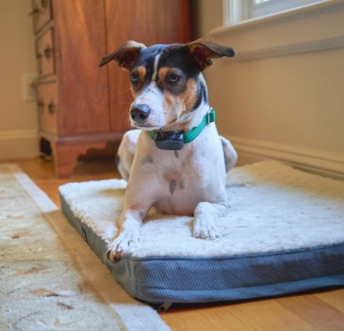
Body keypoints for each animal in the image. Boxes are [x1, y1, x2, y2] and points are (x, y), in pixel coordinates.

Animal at [100, 39, 236, 262]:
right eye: (134, 77)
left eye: (173, 77)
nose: (137, 112)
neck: (174, 142)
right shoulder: (135, 206)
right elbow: (128, 223)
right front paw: (123, 241)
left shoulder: (220, 203)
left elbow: (203, 205)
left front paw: (205, 228)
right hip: (127, 139)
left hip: (230, 149)